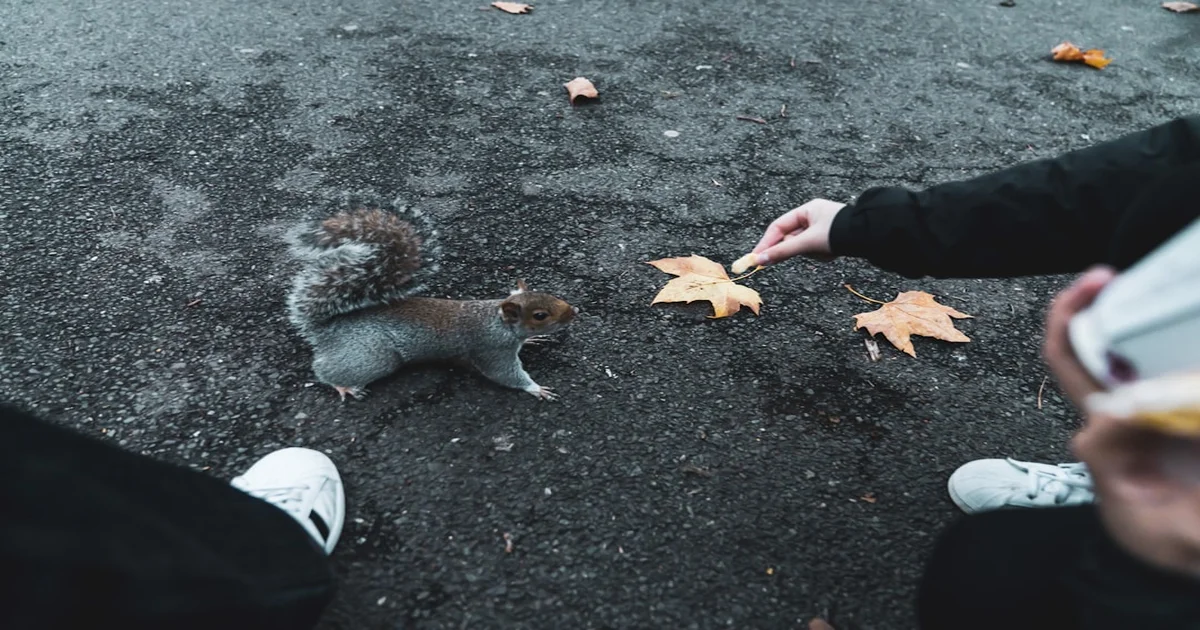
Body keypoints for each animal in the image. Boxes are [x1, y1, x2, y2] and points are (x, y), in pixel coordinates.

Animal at [285, 205, 578, 401]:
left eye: (549, 294)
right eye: (540, 315)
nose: (573, 311)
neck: (498, 321)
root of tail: (327, 331)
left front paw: (533, 340)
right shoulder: (491, 349)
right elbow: (504, 374)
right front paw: (535, 388)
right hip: (371, 356)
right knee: (324, 370)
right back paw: (344, 386)